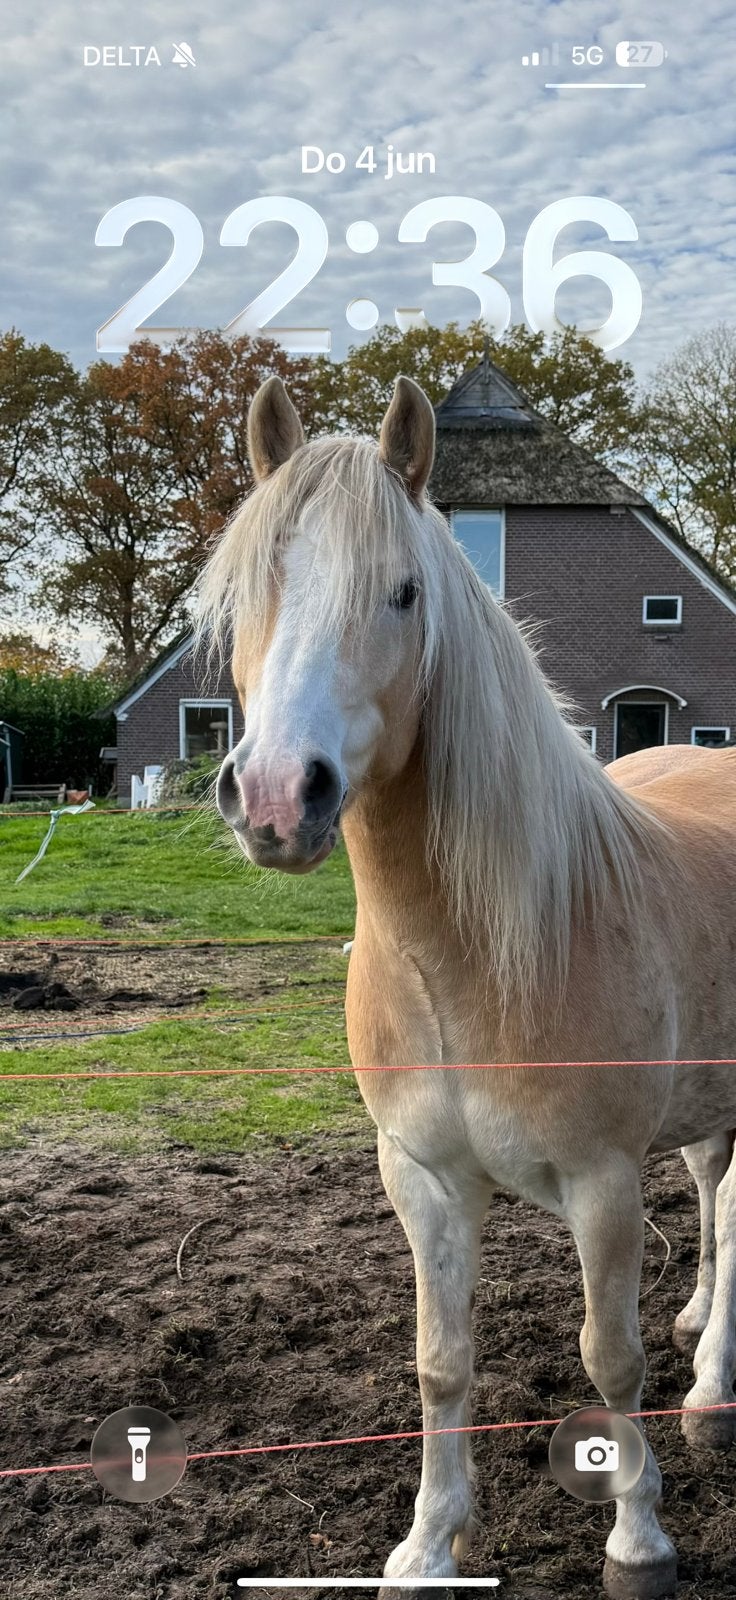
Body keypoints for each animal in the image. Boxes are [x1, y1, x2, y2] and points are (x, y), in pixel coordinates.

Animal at [199, 372, 736, 1600]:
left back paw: (713, 1392)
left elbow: (609, 1354)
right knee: (717, 1194)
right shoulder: (423, 1176)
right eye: (250, 588)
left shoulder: (599, 1182)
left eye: (403, 592)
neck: (472, 961)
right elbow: (441, 1361)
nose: (276, 796)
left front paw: (637, 1539)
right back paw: (700, 1329)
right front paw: (428, 1544)